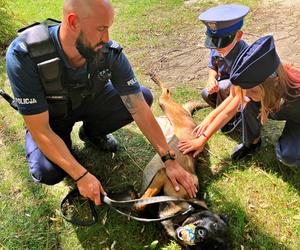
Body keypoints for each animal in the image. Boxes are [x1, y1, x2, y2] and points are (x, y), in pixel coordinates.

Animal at [138, 74, 227, 250]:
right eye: (212, 224)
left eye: (213, 244)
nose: (201, 235)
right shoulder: (165, 175)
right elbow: (141, 203)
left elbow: (143, 205)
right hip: (168, 106)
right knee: (166, 92)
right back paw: (155, 78)